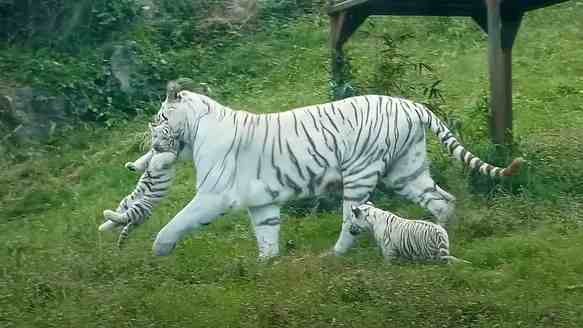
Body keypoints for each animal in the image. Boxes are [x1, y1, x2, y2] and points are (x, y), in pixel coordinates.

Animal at [98, 86, 524, 260]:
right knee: (441, 200)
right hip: (407, 169)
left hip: (360, 173)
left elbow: (177, 221)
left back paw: (334, 255)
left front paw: (159, 251)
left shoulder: (213, 196)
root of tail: (413, 105)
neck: (199, 127)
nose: (152, 145)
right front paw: (266, 266)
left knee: (351, 221)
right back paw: (446, 236)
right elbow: (267, 235)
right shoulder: (262, 203)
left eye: (158, 119)